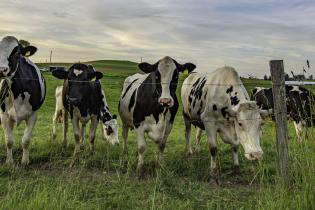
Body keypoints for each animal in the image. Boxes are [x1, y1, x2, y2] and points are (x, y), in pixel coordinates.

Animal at [0, 35, 46, 164]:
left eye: (17, 52)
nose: (1, 69)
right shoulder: (4, 115)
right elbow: (9, 140)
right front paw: (9, 161)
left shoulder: (33, 115)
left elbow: (26, 140)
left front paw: (25, 161)